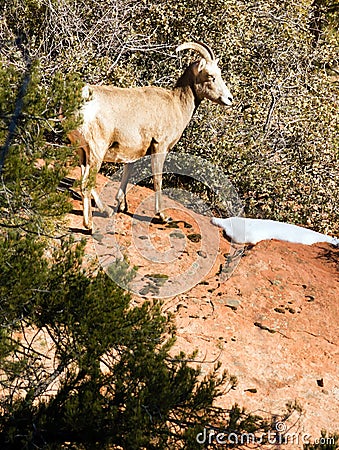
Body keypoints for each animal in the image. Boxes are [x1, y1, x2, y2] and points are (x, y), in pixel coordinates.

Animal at [69, 40, 234, 230]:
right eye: (211, 76)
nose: (229, 99)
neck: (176, 105)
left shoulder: (132, 156)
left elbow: (126, 178)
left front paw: (122, 206)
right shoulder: (159, 147)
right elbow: (157, 180)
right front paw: (162, 216)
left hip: (82, 152)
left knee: (83, 181)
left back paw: (104, 213)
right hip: (97, 152)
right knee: (87, 184)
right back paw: (90, 225)